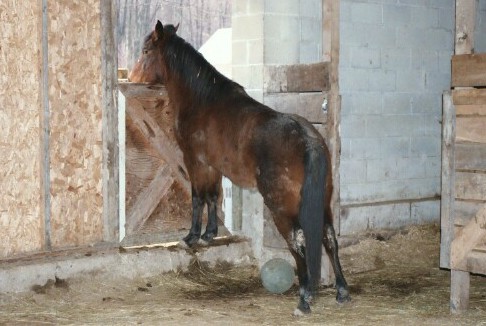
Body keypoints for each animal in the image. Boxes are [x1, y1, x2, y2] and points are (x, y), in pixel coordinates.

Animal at [129, 21, 350, 316]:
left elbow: (198, 198)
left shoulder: (195, 161)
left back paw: (304, 298)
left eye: (145, 51)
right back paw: (341, 291)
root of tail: (308, 139)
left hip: (282, 209)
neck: (203, 101)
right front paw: (209, 234)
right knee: (329, 239)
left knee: (299, 242)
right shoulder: (212, 166)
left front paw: (191, 237)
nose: (133, 78)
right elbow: (213, 197)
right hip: (323, 203)